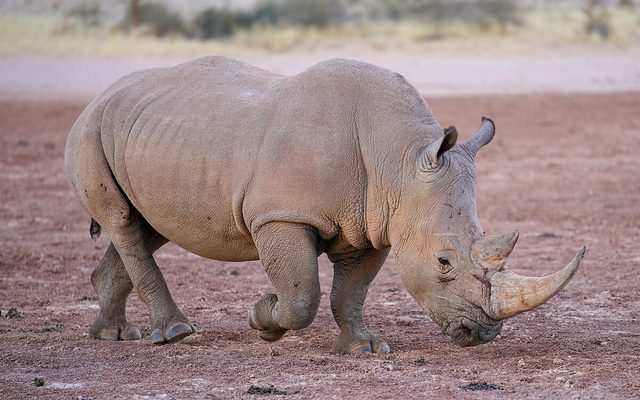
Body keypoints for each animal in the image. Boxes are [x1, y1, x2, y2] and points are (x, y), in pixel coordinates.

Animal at [65, 56, 586, 353]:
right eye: (443, 262)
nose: (482, 334)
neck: (399, 159)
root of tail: (100, 95)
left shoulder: (375, 223)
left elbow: (350, 291)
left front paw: (364, 347)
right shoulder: (281, 215)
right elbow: (302, 296)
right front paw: (263, 318)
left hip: (156, 136)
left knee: (147, 225)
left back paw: (113, 335)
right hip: (91, 129)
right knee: (123, 222)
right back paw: (174, 334)